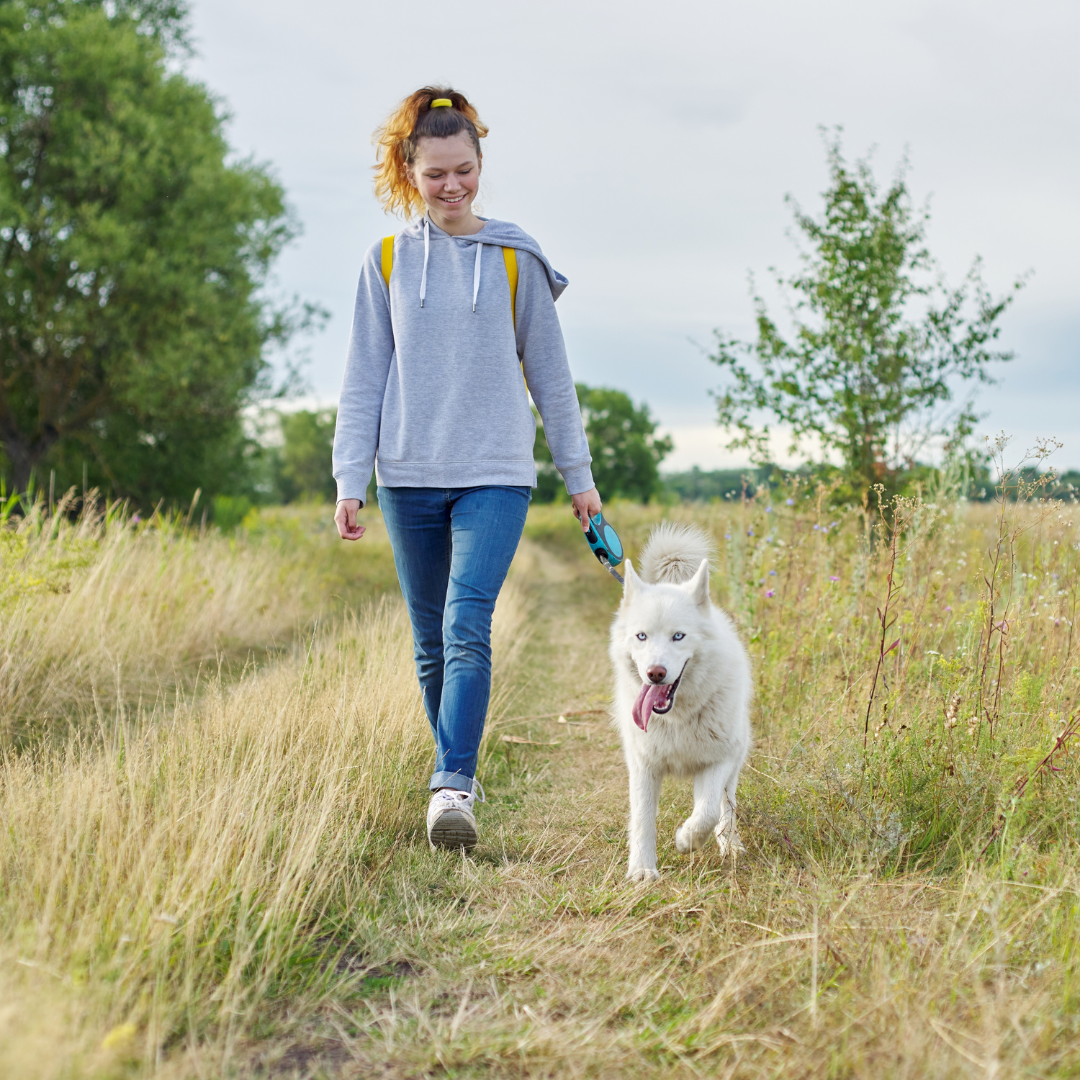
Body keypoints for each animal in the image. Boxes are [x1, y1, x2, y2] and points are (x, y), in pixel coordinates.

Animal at [609, 518, 751, 881]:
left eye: (678, 636)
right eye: (641, 636)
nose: (655, 674)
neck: (676, 718)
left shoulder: (717, 761)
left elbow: (708, 812)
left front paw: (687, 840)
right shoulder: (643, 766)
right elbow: (643, 819)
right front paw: (642, 870)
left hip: (736, 757)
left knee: (726, 806)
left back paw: (730, 844)